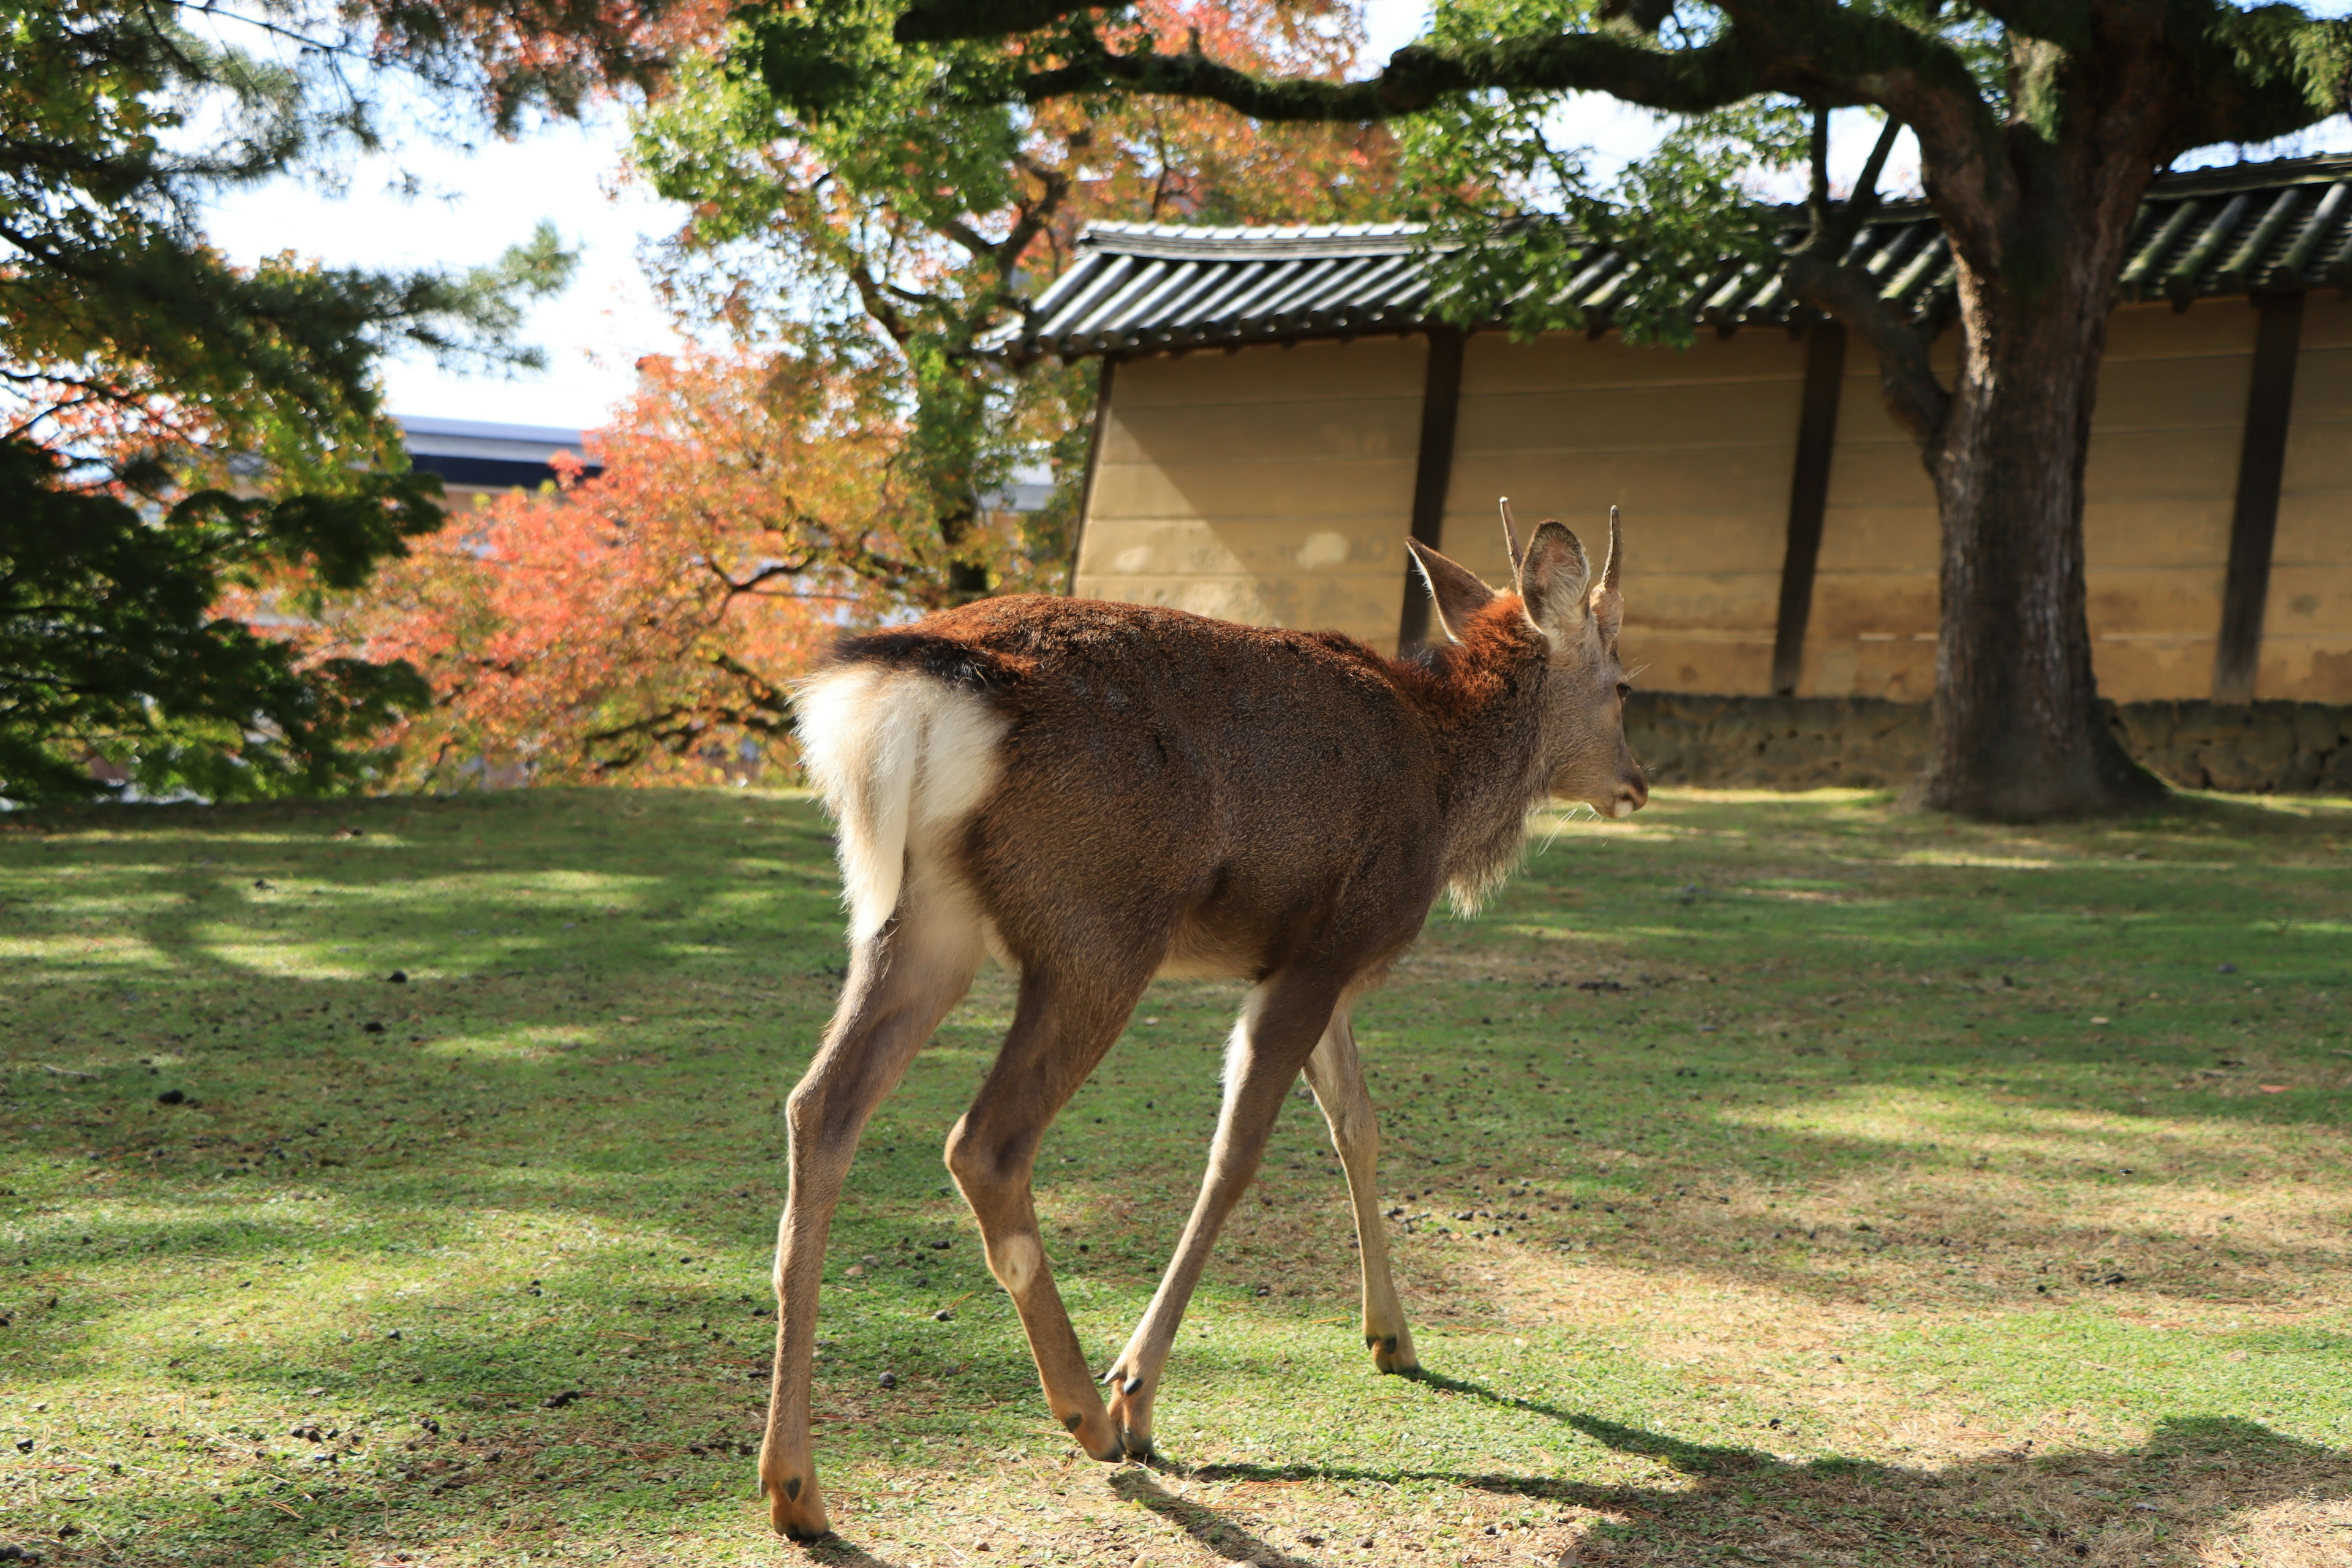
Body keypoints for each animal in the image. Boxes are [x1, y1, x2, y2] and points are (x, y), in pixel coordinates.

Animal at [762, 505, 1646, 1542]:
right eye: (1624, 685)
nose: (1636, 784)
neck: (1447, 786)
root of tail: (903, 694)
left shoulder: (1304, 961)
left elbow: (1357, 1125)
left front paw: (1394, 1338)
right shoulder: (1330, 946)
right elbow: (1239, 1152)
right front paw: (1140, 1389)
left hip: (921, 920)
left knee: (819, 1107)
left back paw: (794, 1485)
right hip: (1099, 928)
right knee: (984, 1142)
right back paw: (1090, 1415)